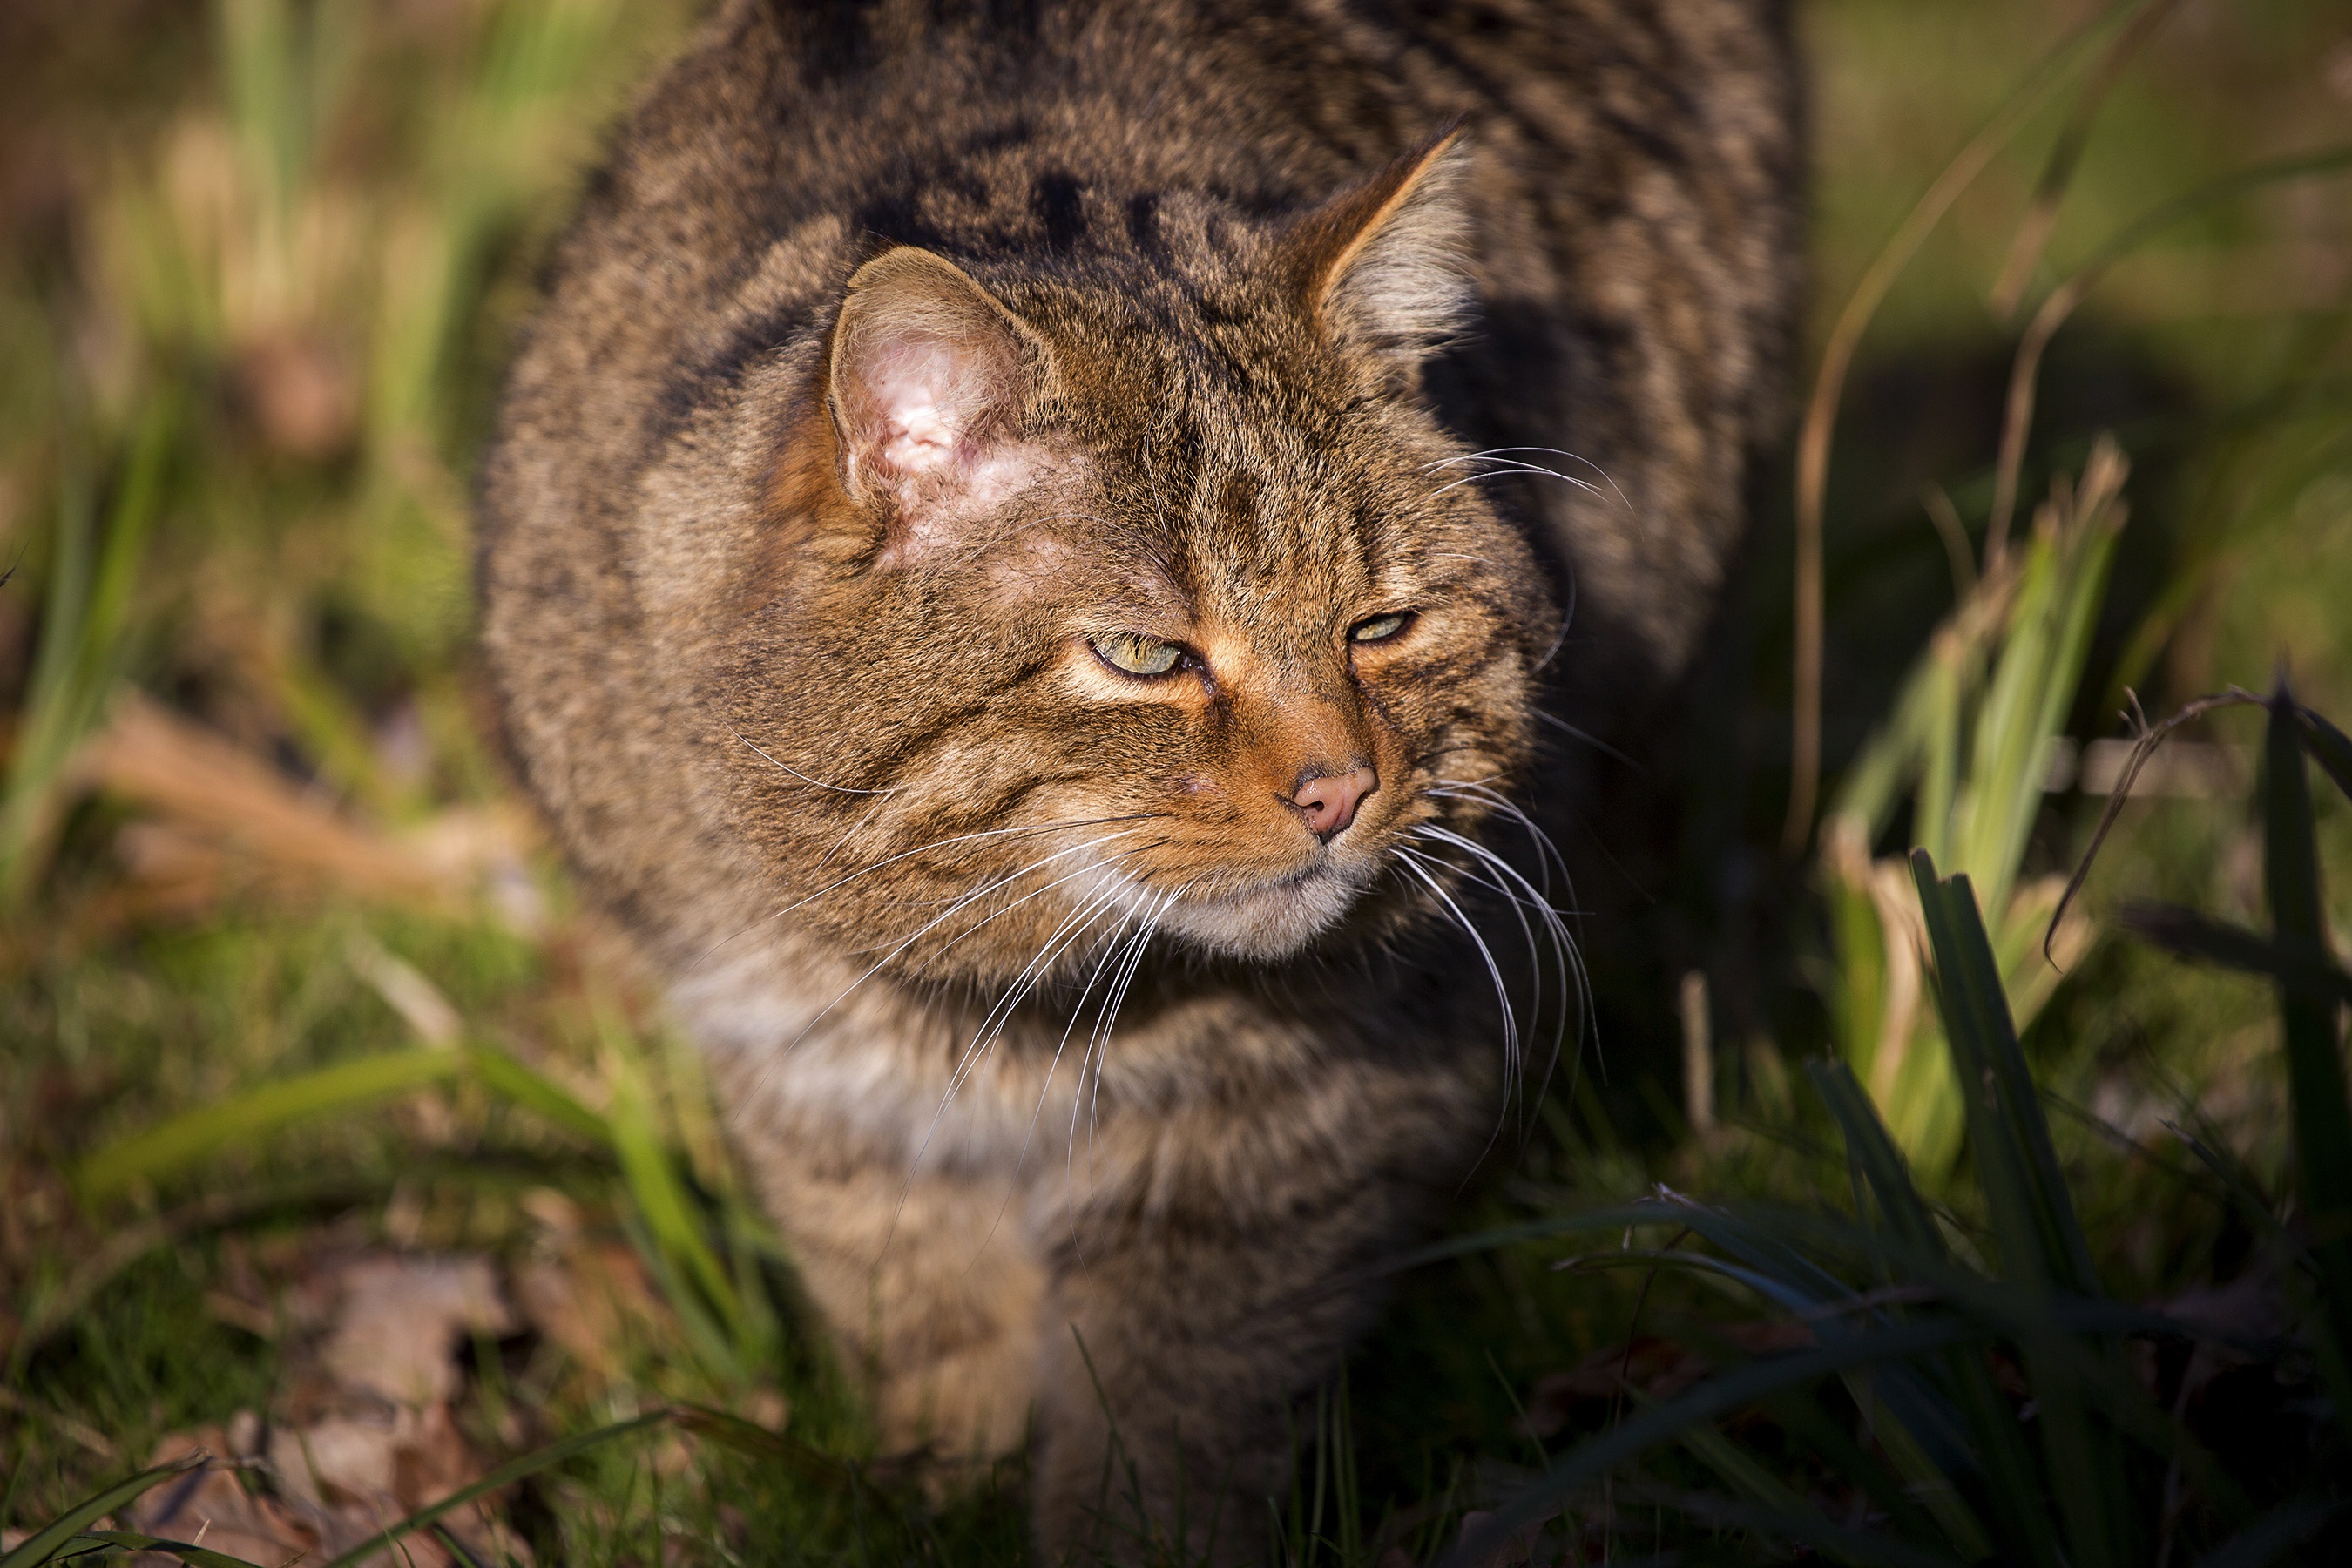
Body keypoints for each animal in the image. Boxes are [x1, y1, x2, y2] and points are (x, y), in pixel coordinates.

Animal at [482, 3, 1796, 1560]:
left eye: (1379, 627)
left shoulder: (1300, 1119)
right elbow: (931, 1325)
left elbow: (1169, 1403)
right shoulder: (815, 1090)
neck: (988, 1011)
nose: (1339, 790)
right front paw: (945, 1498)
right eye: (1144, 655)